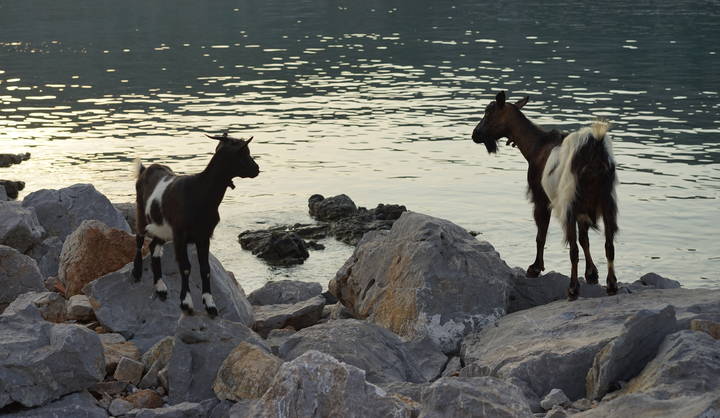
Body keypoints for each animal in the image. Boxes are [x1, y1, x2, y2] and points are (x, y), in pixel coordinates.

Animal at [131, 133, 260, 316]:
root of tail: (145, 169)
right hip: (142, 213)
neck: (200, 192)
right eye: (242, 153)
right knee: (139, 238)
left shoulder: (204, 236)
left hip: (163, 227)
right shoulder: (180, 235)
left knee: (154, 248)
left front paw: (210, 304)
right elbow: (185, 267)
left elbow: (205, 269)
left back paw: (161, 288)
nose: (256, 169)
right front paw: (186, 302)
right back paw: (137, 272)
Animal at [471, 91, 618, 300]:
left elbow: (541, 235)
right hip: (607, 201)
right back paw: (612, 286)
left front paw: (535, 267)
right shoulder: (583, 208)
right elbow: (585, 239)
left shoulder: (541, 199)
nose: (475, 134)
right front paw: (592, 273)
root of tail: (594, 154)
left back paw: (572, 289)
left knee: (573, 248)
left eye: (489, 113)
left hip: (570, 201)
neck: (534, 146)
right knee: (609, 245)